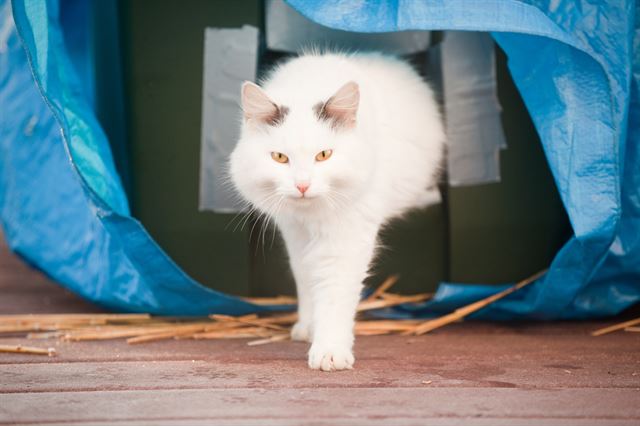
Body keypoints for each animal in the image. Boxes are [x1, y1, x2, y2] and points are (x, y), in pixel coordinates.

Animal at [230, 51, 444, 372]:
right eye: (280, 158)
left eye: (324, 155)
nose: (302, 185)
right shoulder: (295, 234)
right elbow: (306, 280)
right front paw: (309, 326)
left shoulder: (346, 239)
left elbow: (333, 297)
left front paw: (329, 351)